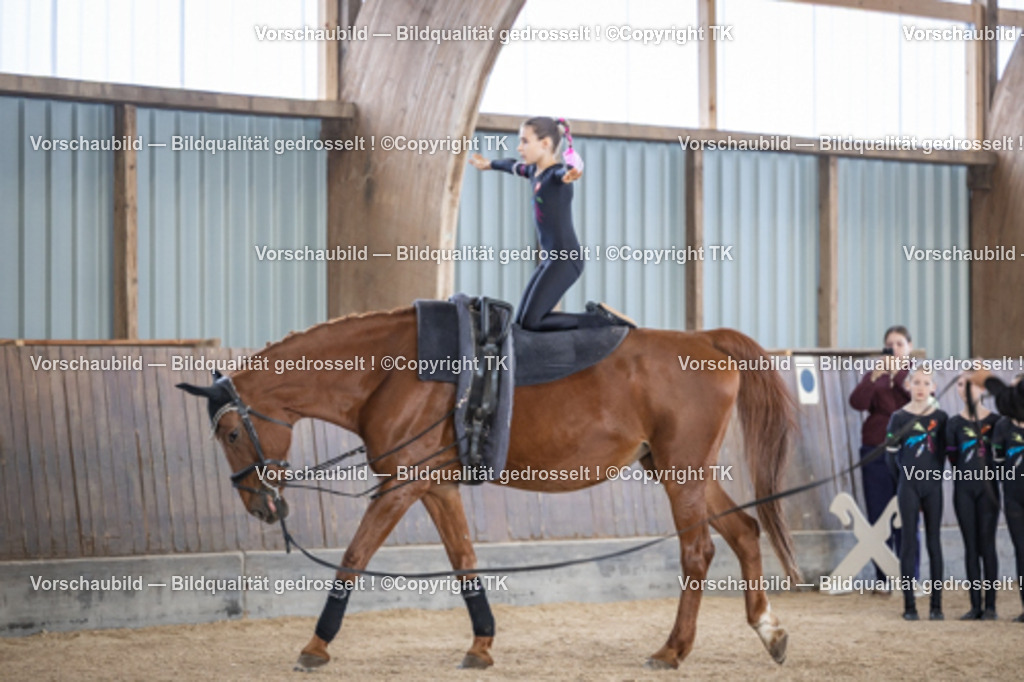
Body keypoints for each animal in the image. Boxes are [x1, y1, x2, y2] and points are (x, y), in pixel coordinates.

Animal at [177, 306, 800, 670]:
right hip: (680, 470)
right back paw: (768, 631)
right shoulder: (433, 486)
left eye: (230, 432)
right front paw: (481, 644)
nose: (261, 505)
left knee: (698, 550)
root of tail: (706, 340)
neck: (396, 370)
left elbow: (354, 557)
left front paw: (315, 646)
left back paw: (673, 650)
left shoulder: (400, 486)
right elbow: (464, 560)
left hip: (680, 473)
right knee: (745, 531)